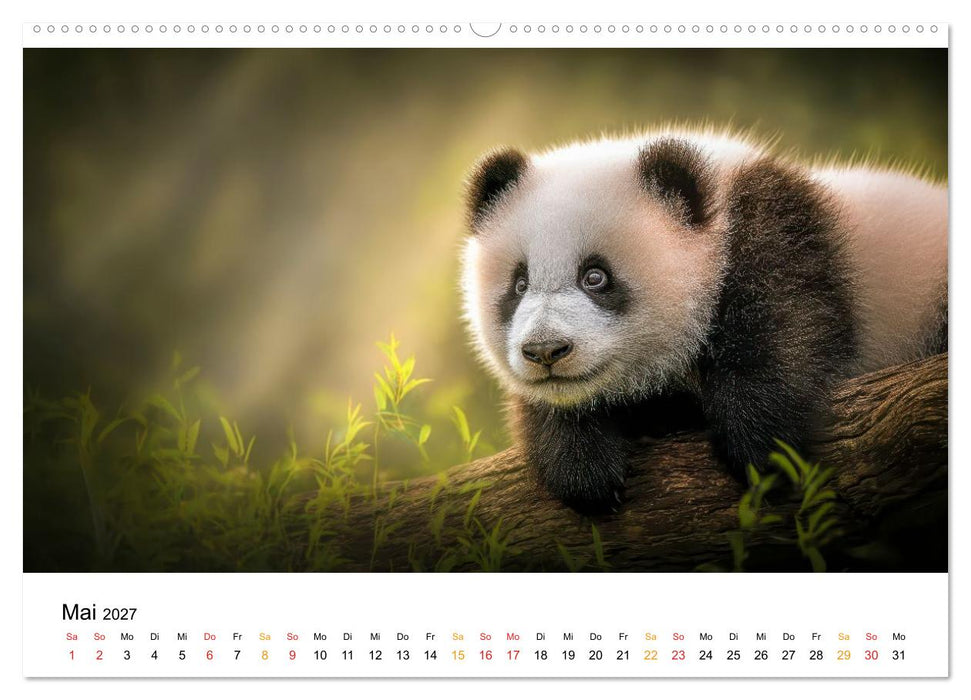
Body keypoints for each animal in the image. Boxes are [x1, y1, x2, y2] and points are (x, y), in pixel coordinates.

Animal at [460, 129, 947, 512]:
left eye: (595, 276)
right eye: (519, 284)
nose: (545, 351)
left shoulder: (781, 239)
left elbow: (789, 331)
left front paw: (760, 443)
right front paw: (583, 466)